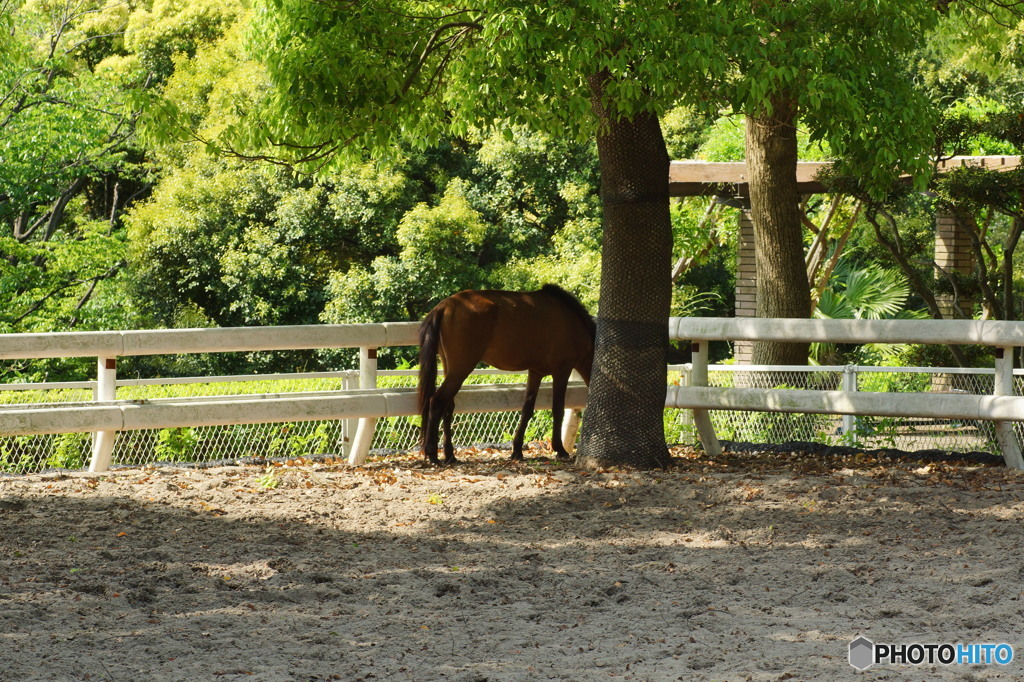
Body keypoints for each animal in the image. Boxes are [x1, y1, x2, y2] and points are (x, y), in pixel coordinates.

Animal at [413, 284, 593, 464]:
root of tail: (444, 306)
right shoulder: (562, 370)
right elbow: (557, 409)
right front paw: (560, 449)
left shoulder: (536, 372)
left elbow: (527, 409)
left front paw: (517, 451)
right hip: (460, 369)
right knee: (437, 401)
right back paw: (432, 454)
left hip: (450, 368)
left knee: (448, 406)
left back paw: (450, 455)